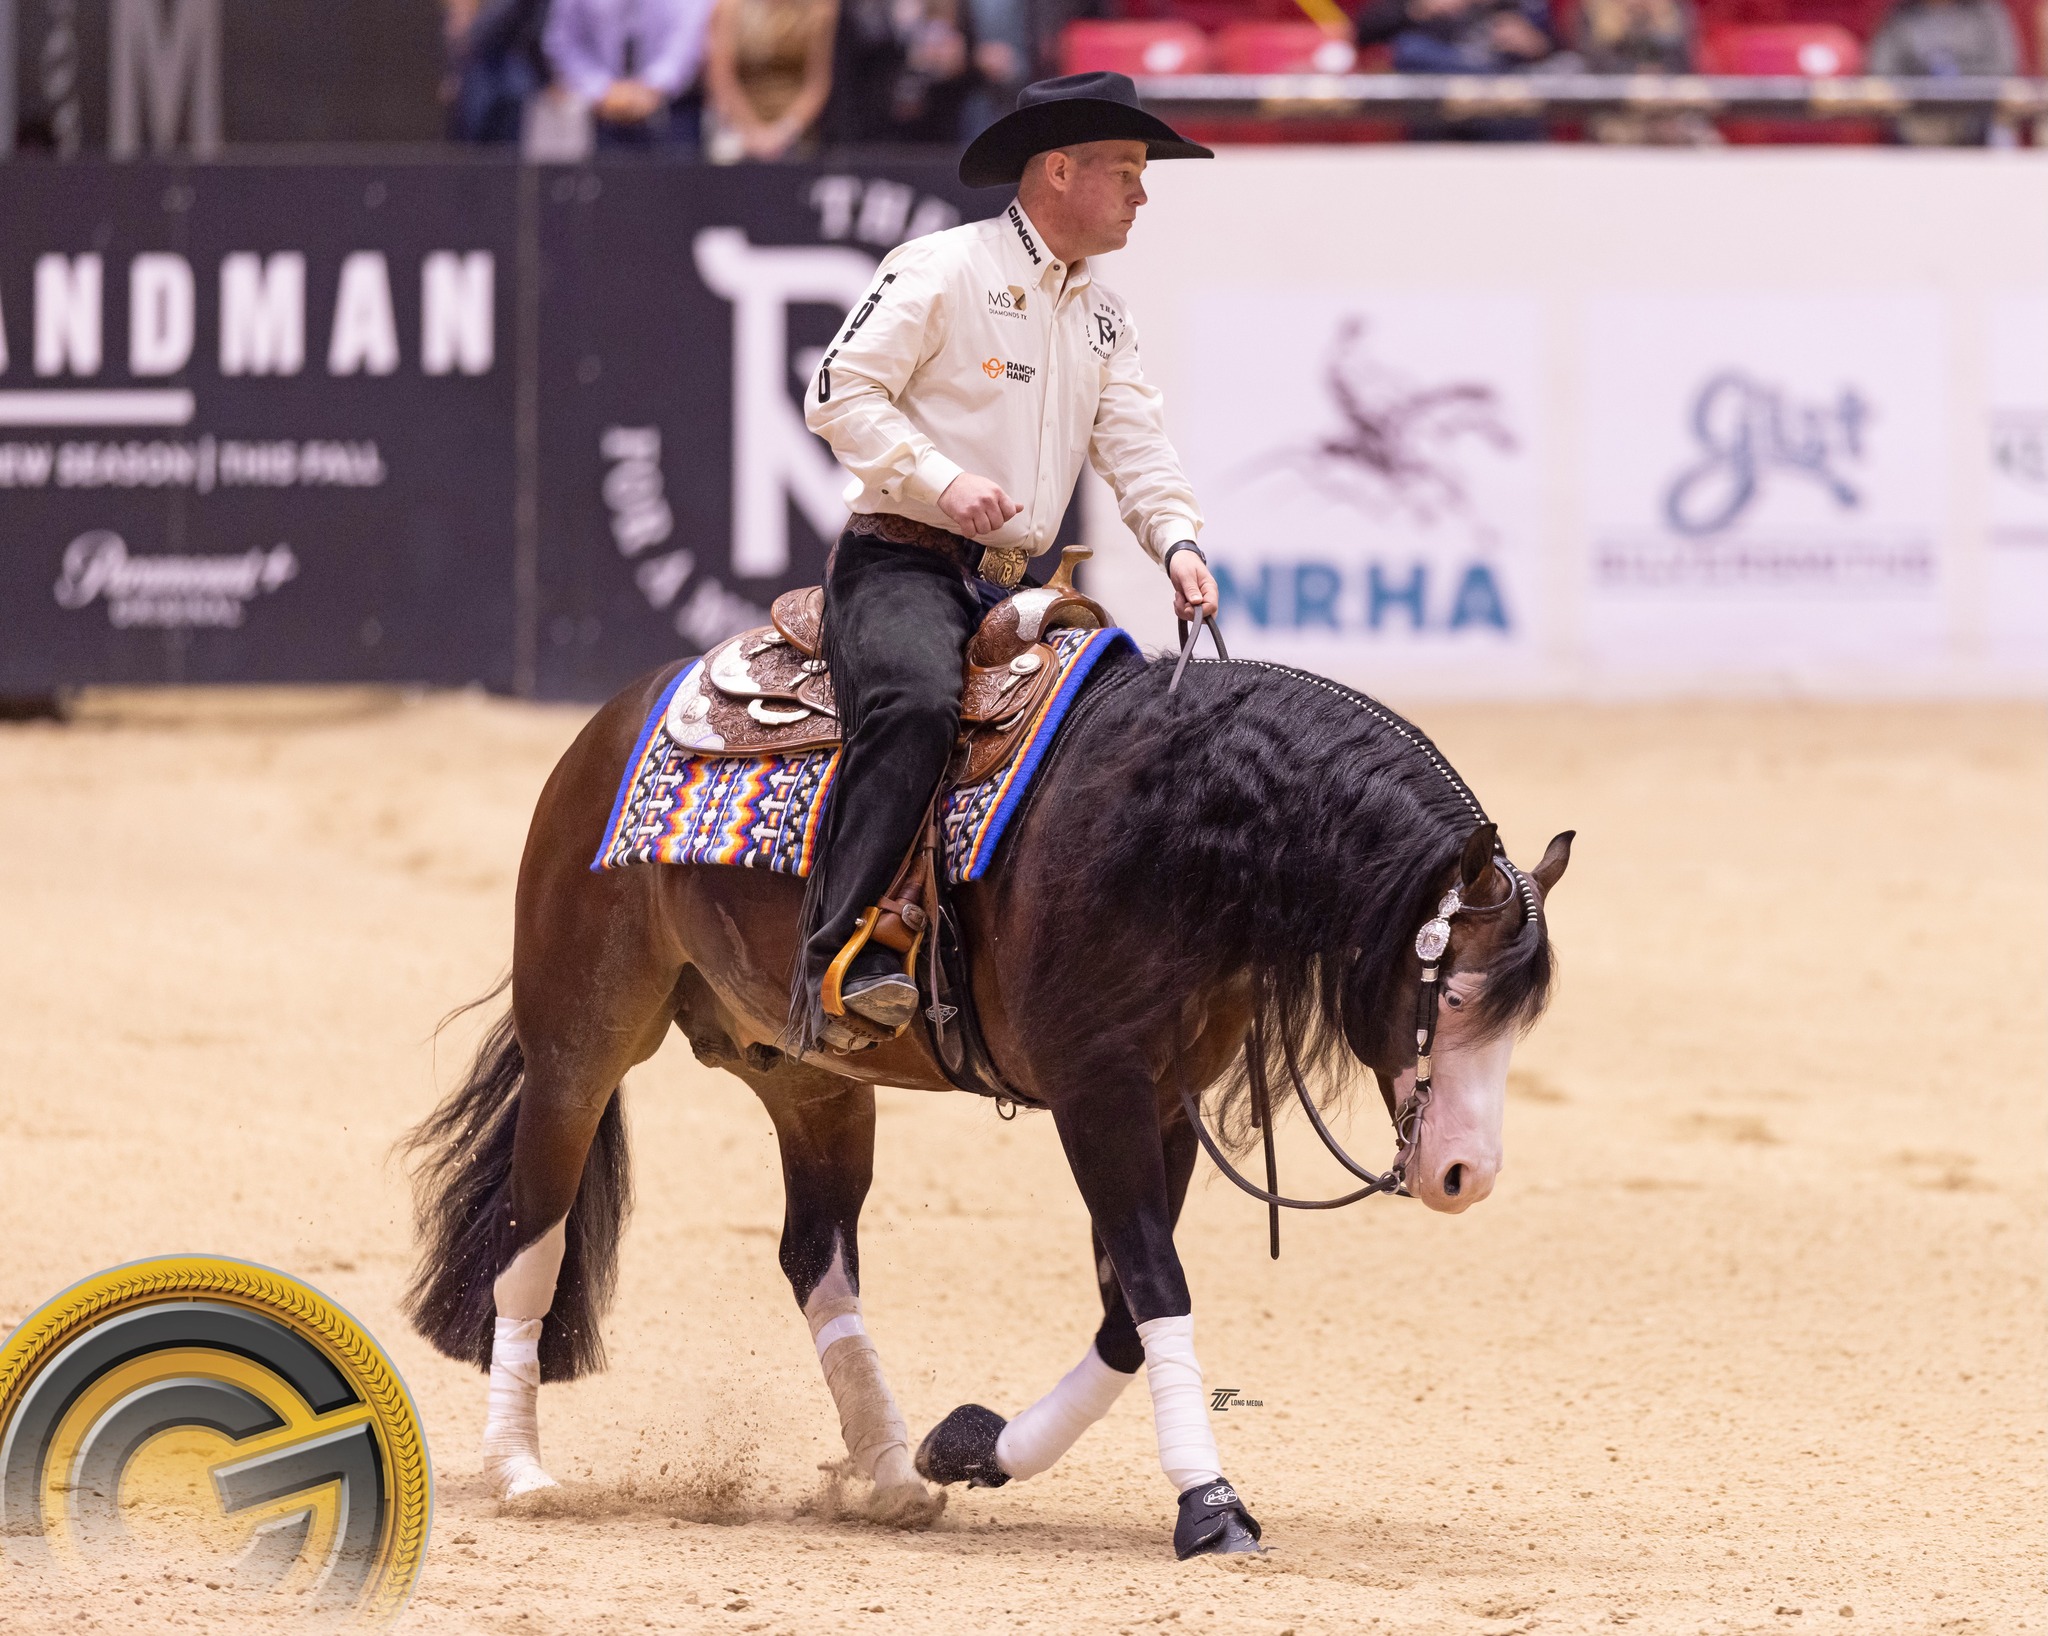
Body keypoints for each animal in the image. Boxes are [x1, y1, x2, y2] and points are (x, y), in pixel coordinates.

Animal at [400, 640, 1572, 1558]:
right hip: (579, 1041)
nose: (1464, 1174)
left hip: (809, 1078)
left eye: (1521, 1021)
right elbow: (1158, 1286)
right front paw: (1208, 1502)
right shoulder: (1098, 1091)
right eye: (1450, 993)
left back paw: (888, 1470)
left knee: (816, 1257)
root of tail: (612, 721)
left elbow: (1124, 1316)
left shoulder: (1164, 1103)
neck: (1170, 833)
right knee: (533, 1235)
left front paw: (972, 1444)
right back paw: (518, 1467)